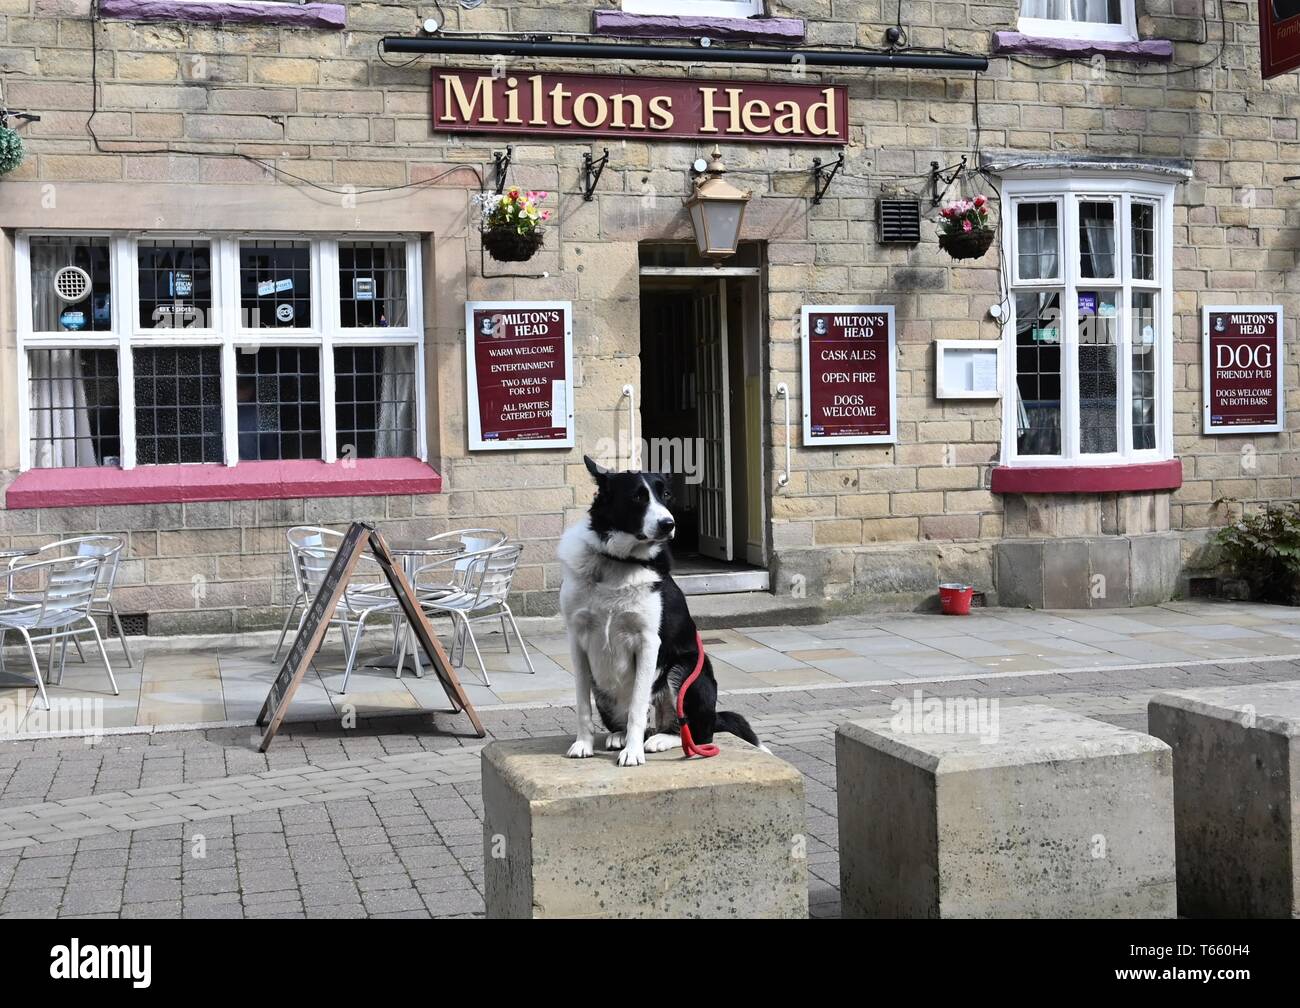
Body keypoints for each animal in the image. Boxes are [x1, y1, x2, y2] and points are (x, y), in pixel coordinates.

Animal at [556, 457, 759, 764]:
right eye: (637, 497)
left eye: (666, 495)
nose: (669, 524)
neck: (619, 562)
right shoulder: (576, 639)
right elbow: (582, 704)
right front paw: (583, 744)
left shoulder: (648, 642)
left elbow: (638, 706)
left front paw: (632, 752)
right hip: (604, 690)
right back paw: (620, 736)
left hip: (685, 673)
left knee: (694, 734)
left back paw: (658, 740)